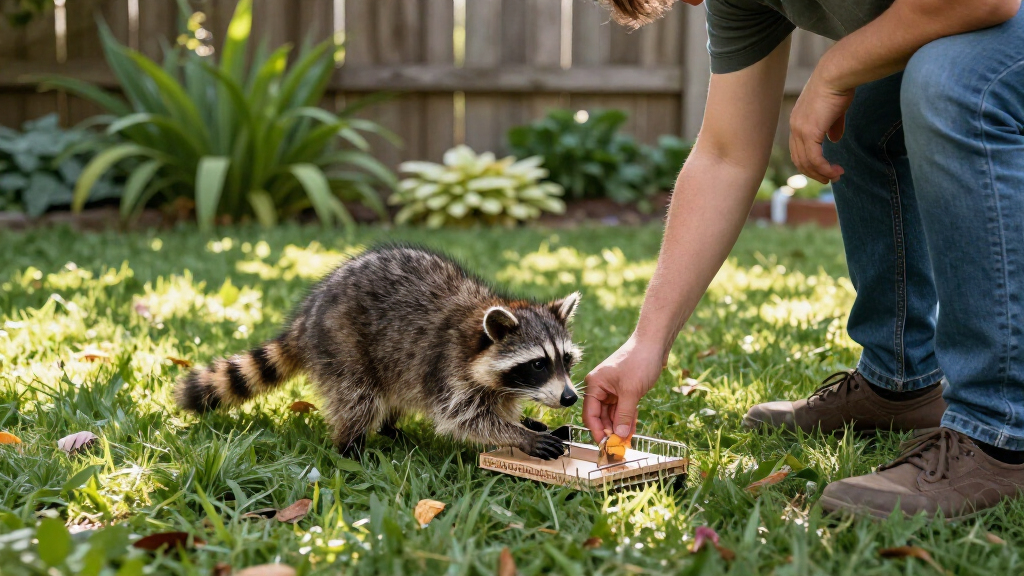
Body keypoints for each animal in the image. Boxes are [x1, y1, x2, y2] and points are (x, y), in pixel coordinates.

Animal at [174, 244, 582, 460]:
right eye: (537, 364)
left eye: (565, 360)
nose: (569, 398)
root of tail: (306, 317)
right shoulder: (449, 368)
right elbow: (464, 419)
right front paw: (518, 435)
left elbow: (498, 407)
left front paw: (525, 422)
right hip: (343, 346)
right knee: (359, 397)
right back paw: (351, 449)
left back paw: (390, 429)